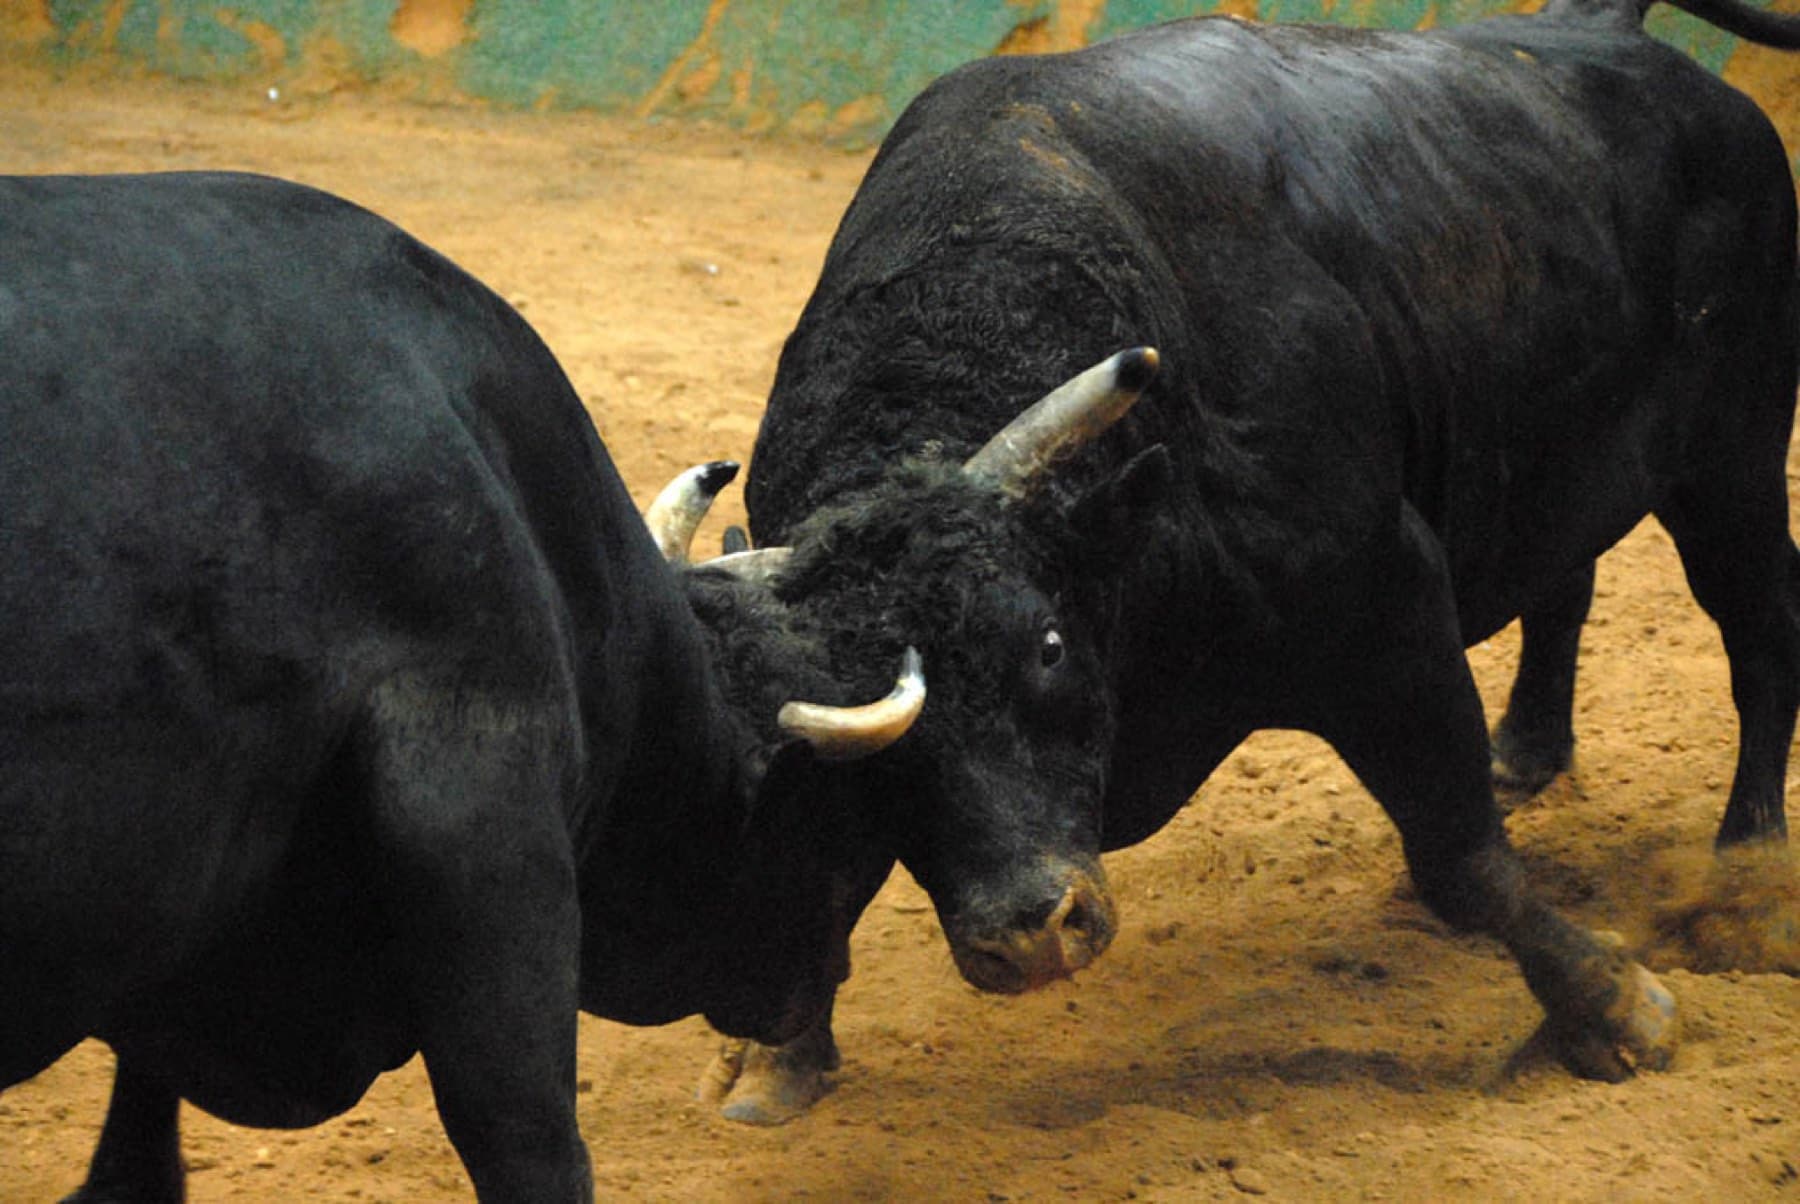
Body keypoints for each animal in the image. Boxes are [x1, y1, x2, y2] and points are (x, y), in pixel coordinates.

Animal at [696, 0, 1800, 1122]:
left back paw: (1747, 889)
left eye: (1046, 645)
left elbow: (1461, 857)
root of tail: (1608, 31)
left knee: (1763, 634)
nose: (1031, 935)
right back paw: (1527, 752)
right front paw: (776, 1058)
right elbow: (822, 891)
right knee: (1566, 581)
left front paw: (1617, 1004)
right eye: (874, 747)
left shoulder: (1387, 607)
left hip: (1733, 459)